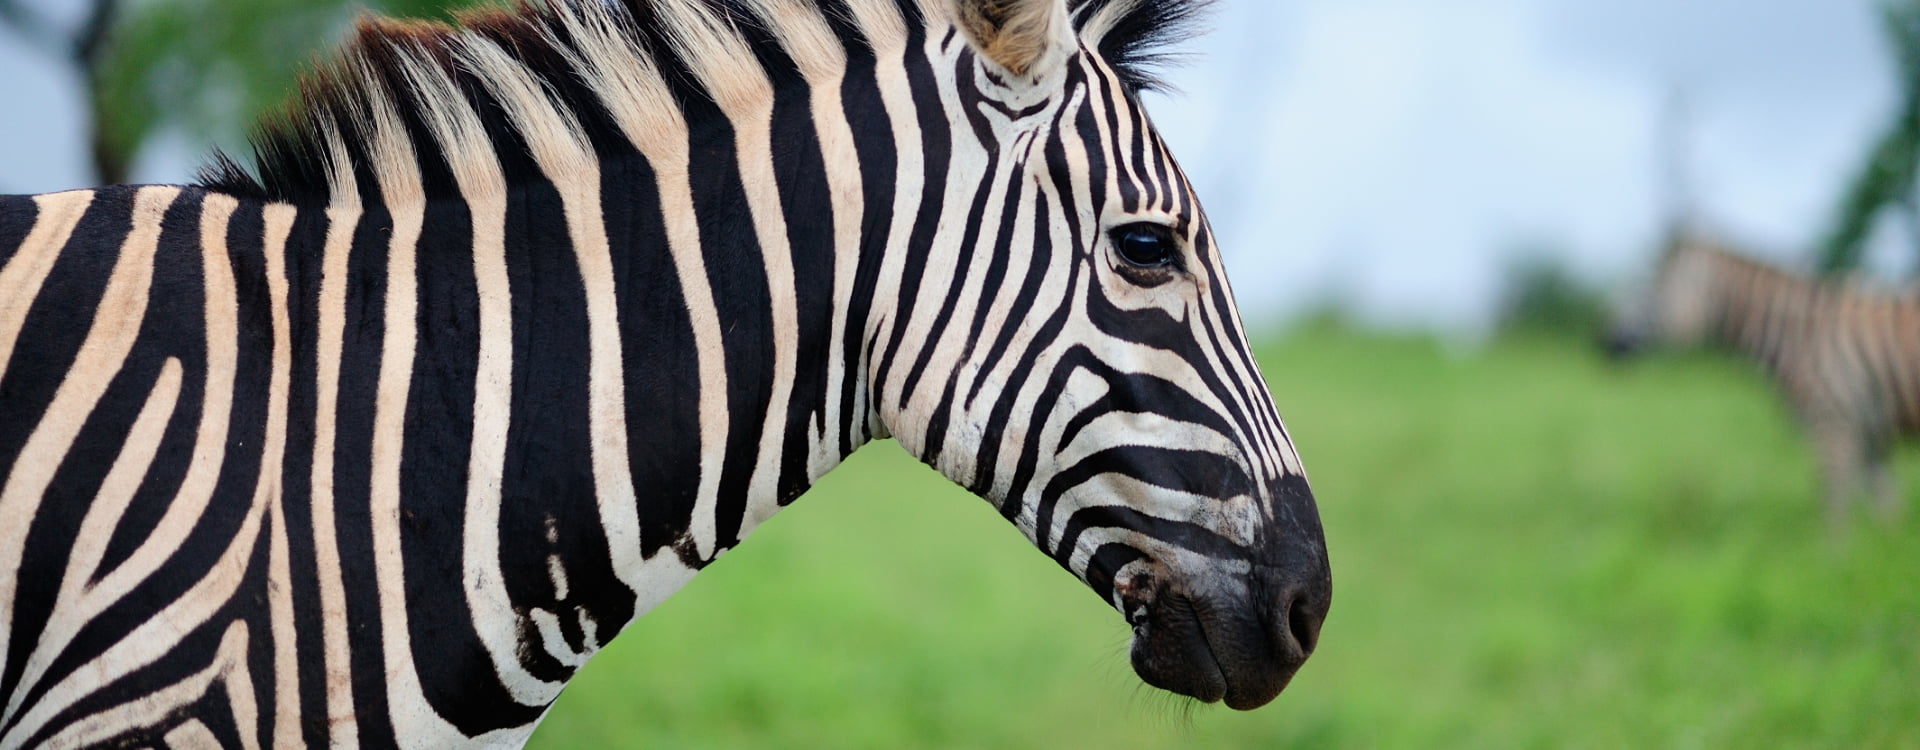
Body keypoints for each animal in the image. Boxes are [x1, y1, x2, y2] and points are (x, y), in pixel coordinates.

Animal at [1608, 225, 1920, 526]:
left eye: (1647, 290)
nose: (1605, 343)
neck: (1798, 338)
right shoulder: (1870, 436)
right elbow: (1886, 516)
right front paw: (1880, 543)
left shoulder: (1833, 428)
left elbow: (1835, 515)